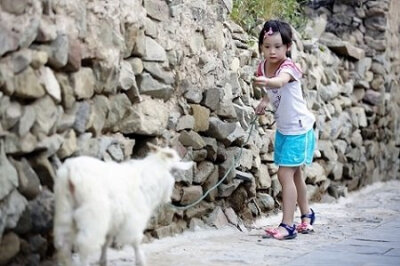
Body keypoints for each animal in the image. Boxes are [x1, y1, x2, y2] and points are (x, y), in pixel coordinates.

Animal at [53, 143, 194, 266]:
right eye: (177, 164)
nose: (169, 199)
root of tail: (71, 171)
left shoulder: (113, 221)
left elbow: (106, 242)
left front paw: (103, 261)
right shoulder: (134, 218)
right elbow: (136, 241)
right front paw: (140, 261)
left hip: (64, 208)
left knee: (63, 243)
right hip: (92, 215)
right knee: (84, 244)